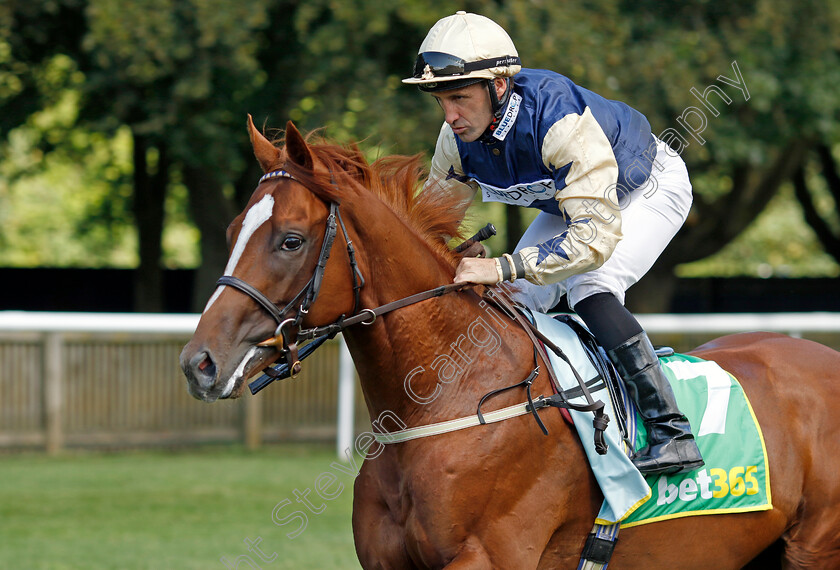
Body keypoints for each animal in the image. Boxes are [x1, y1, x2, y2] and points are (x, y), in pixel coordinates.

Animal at [180, 117, 840, 564]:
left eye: (290, 240)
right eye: (235, 230)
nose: (199, 363)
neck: (448, 399)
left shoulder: (489, 555)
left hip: (815, 548)